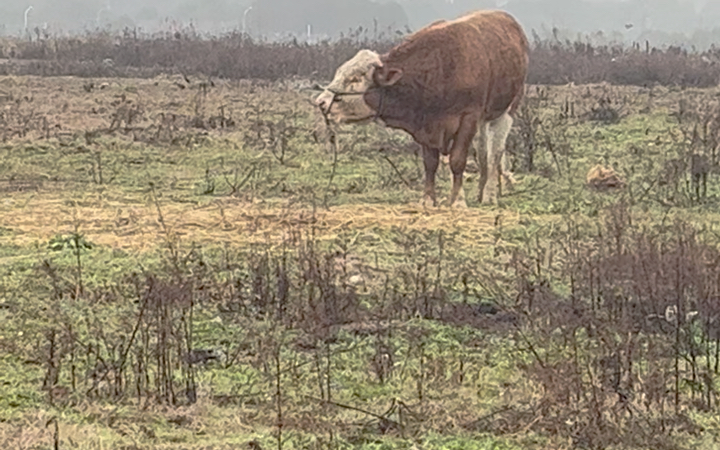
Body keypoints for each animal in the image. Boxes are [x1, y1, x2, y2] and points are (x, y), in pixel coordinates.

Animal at [316, 11, 528, 206]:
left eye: (354, 78)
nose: (321, 102)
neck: (440, 69)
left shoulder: (468, 118)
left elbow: (457, 160)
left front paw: (457, 200)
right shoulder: (427, 124)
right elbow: (430, 163)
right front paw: (428, 199)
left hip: (506, 111)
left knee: (495, 153)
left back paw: (489, 195)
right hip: (484, 120)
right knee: (483, 151)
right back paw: (480, 191)